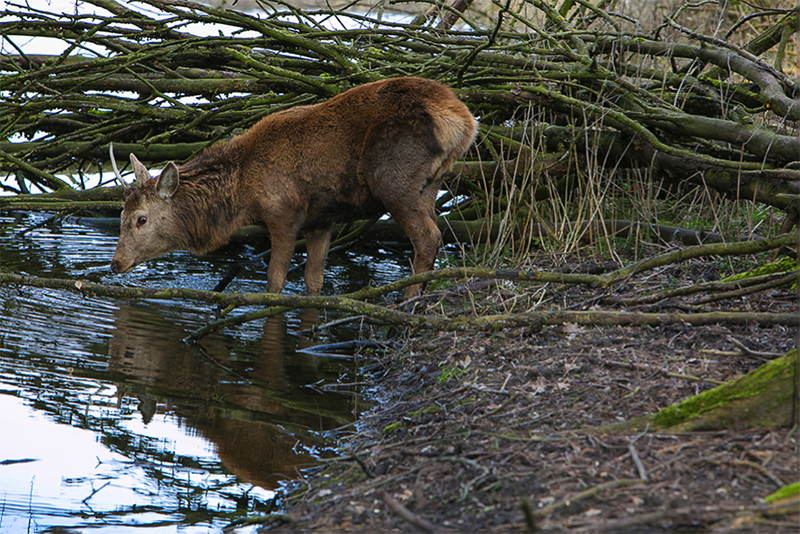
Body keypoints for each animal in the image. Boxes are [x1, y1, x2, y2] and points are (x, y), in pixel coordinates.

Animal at [109, 77, 478, 300]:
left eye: (141, 219)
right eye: (121, 216)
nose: (115, 263)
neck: (242, 195)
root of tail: (462, 122)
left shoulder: (284, 214)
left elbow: (275, 280)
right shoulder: (320, 219)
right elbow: (314, 280)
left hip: (395, 180)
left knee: (428, 237)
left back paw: (408, 301)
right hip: (432, 183)